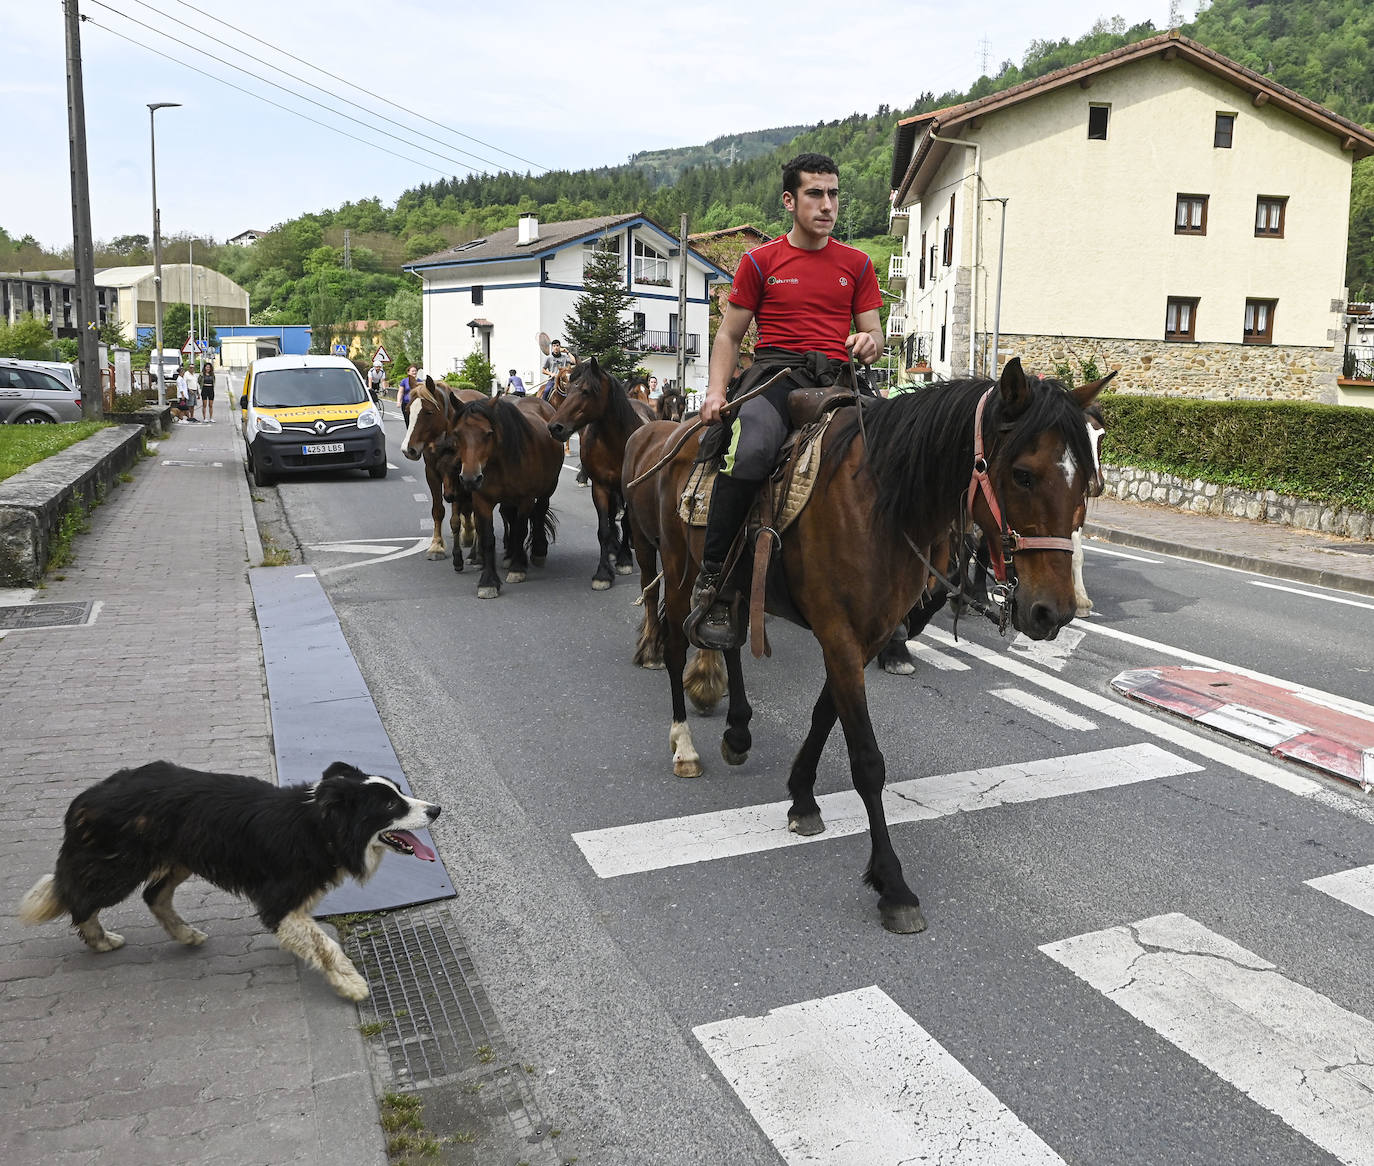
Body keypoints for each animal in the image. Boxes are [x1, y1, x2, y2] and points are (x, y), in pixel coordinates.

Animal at [18, 758, 442, 994]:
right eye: (391, 805)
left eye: (399, 792)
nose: (436, 809)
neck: (321, 827)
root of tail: (86, 798)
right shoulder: (278, 901)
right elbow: (324, 944)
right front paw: (350, 984)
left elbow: (312, 938)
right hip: (119, 865)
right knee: (80, 899)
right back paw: (100, 940)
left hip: (180, 858)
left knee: (154, 895)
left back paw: (185, 934)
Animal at [445, 392, 563, 596]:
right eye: (458, 433)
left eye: (488, 433)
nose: (470, 479)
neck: (500, 462)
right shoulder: (483, 500)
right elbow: (488, 538)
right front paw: (488, 581)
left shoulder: (525, 499)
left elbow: (521, 531)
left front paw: (517, 569)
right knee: (510, 518)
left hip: (549, 487)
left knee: (540, 512)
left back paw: (537, 551)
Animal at [546, 354, 654, 587]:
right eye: (569, 389)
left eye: (586, 391)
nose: (555, 427)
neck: (617, 442)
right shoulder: (600, 487)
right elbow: (603, 528)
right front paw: (603, 572)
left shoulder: (627, 488)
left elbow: (626, 521)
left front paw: (624, 560)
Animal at [623, 359, 1104, 933]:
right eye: (1024, 474)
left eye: (1082, 480)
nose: (1054, 613)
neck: (880, 504)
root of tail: (684, 427)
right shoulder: (840, 635)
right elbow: (867, 760)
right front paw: (892, 884)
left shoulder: (866, 636)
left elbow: (824, 714)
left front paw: (802, 798)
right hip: (676, 565)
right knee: (676, 645)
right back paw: (684, 744)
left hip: (734, 587)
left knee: (730, 641)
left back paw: (738, 730)